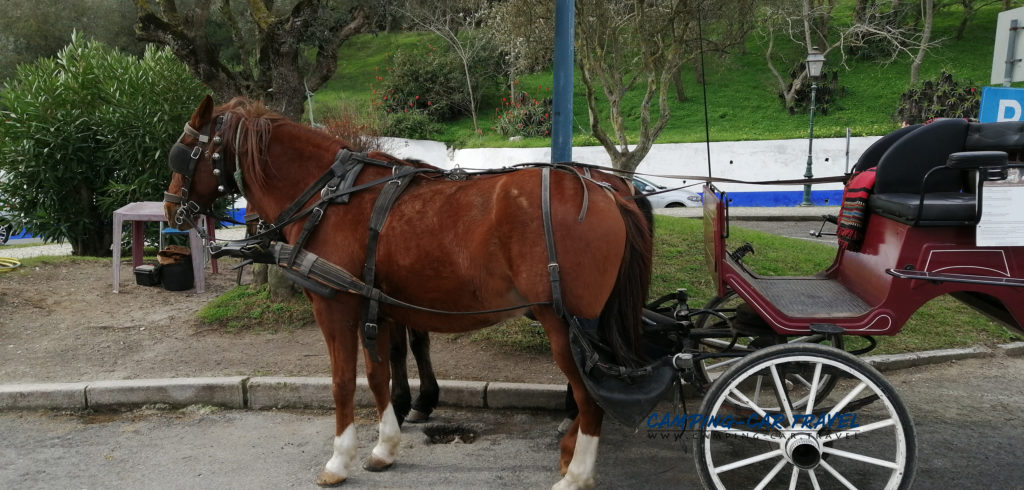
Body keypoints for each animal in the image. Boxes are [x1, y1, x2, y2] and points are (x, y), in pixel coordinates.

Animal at [163, 95, 651, 486]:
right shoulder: (375, 306)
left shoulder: (334, 307)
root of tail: (608, 191)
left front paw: (340, 460)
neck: (328, 195)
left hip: (566, 326)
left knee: (592, 398)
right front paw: (384, 447)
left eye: (182, 154)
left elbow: (343, 382)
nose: (171, 210)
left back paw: (577, 474)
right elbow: (379, 375)